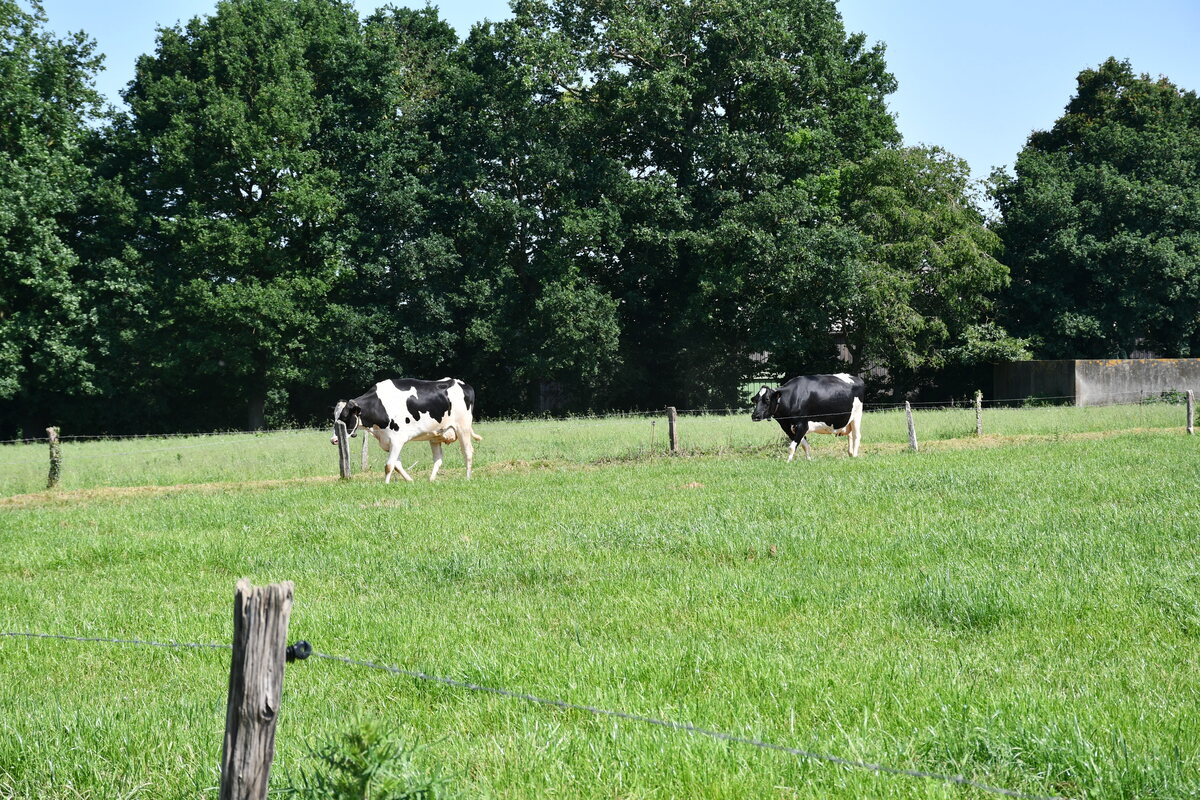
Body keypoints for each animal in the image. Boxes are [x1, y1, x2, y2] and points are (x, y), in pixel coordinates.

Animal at [331, 377, 481, 483]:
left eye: (344, 416)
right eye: (335, 416)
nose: (334, 440)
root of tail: (462, 383)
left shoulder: (397, 439)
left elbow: (389, 465)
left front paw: (386, 484)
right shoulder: (388, 441)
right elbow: (397, 465)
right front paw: (410, 480)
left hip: (463, 428)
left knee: (468, 452)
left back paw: (467, 478)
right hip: (435, 435)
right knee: (438, 459)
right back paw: (431, 480)